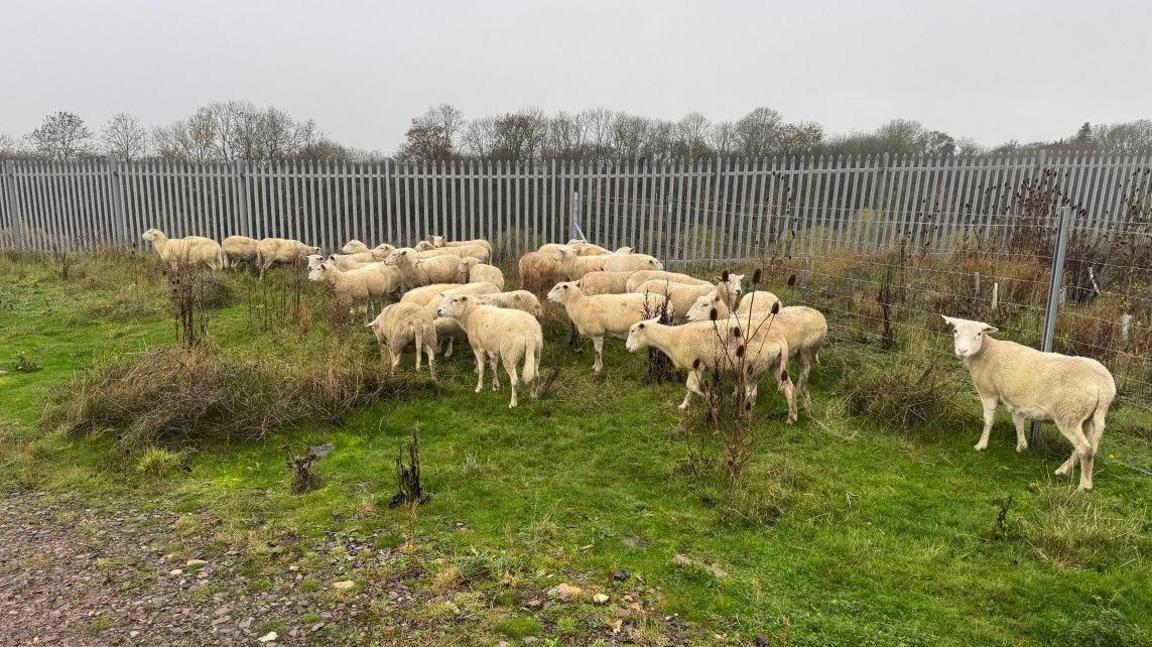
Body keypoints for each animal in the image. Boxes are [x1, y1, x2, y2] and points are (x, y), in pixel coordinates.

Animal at [625, 317, 796, 420]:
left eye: (632, 331)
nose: (627, 348)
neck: (671, 339)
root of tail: (780, 338)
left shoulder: (696, 365)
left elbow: (691, 387)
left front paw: (711, 397)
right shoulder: (697, 368)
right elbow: (690, 389)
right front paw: (684, 405)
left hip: (752, 367)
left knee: (752, 394)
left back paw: (745, 415)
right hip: (775, 365)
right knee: (789, 388)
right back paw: (791, 417)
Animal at [941, 316, 1116, 490]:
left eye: (979, 333)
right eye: (955, 331)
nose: (962, 351)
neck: (986, 352)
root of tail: (1104, 385)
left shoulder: (988, 392)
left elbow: (988, 420)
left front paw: (981, 445)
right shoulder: (1016, 401)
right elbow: (1017, 421)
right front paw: (1022, 446)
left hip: (1068, 412)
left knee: (1085, 449)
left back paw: (1084, 486)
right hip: (1088, 417)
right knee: (1089, 447)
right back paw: (1063, 470)